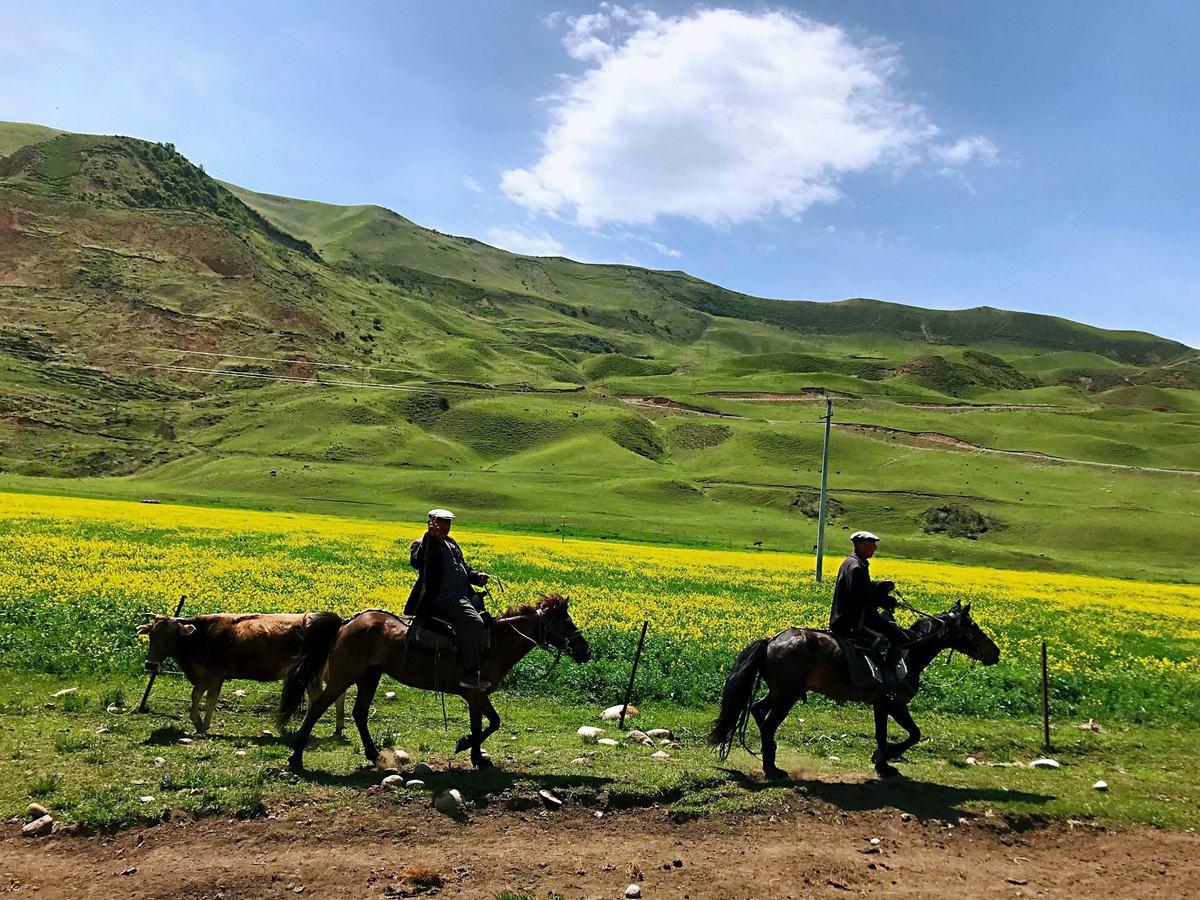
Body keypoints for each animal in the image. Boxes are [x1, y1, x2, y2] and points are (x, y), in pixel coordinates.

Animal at [141, 609, 350, 734]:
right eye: (151, 634)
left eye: (171, 636)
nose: (150, 665)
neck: (203, 636)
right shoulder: (209, 676)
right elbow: (202, 696)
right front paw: (200, 723)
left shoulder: (213, 674)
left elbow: (203, 697)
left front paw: (201, 725)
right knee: (336, 694)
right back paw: (338, 727)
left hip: (312, 672)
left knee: (317, 697)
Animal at [276, 595, 585, 772]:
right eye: (566, 622)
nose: (587, 651)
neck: (495, 643)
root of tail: (346, 622)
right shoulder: (477, 694)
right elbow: (492, 723)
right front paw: (466, 747)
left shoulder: (475, 695)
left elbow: (482, 724)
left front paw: (476, 756)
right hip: (345, 675)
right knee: (317, 708)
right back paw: (296, 758)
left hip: (370, 675)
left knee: (359, 713)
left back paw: (373, 754)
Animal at [705, 602, 998, 777]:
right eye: (973, 628)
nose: (995, 653)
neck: (910, 651)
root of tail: (771, 641)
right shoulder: (894, 702)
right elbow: (913, 734)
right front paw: (885, 758)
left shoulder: (881, 704)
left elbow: (883, 733)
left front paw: (882, 761)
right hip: (787, 696)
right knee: (768, 724)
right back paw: (771, 768)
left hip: (779, 693)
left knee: (757, 709)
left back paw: (771, 756)